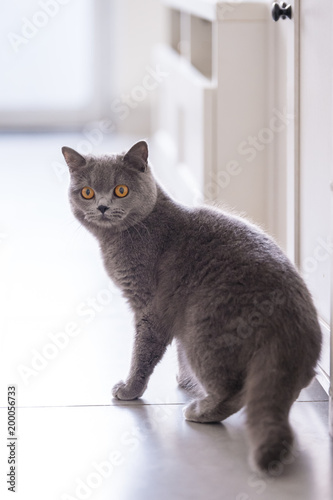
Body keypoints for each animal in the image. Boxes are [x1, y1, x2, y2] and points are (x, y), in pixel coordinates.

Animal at [61, 140, 320, 472]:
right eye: (87, 192)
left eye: (120, 190)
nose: (102, 206)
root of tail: (292, 326)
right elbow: (176, 352)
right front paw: (184, 380)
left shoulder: (150, 305)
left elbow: (143, 351)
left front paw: (130, 390)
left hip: (204, 330)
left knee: (234, 391)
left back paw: (199, 410)